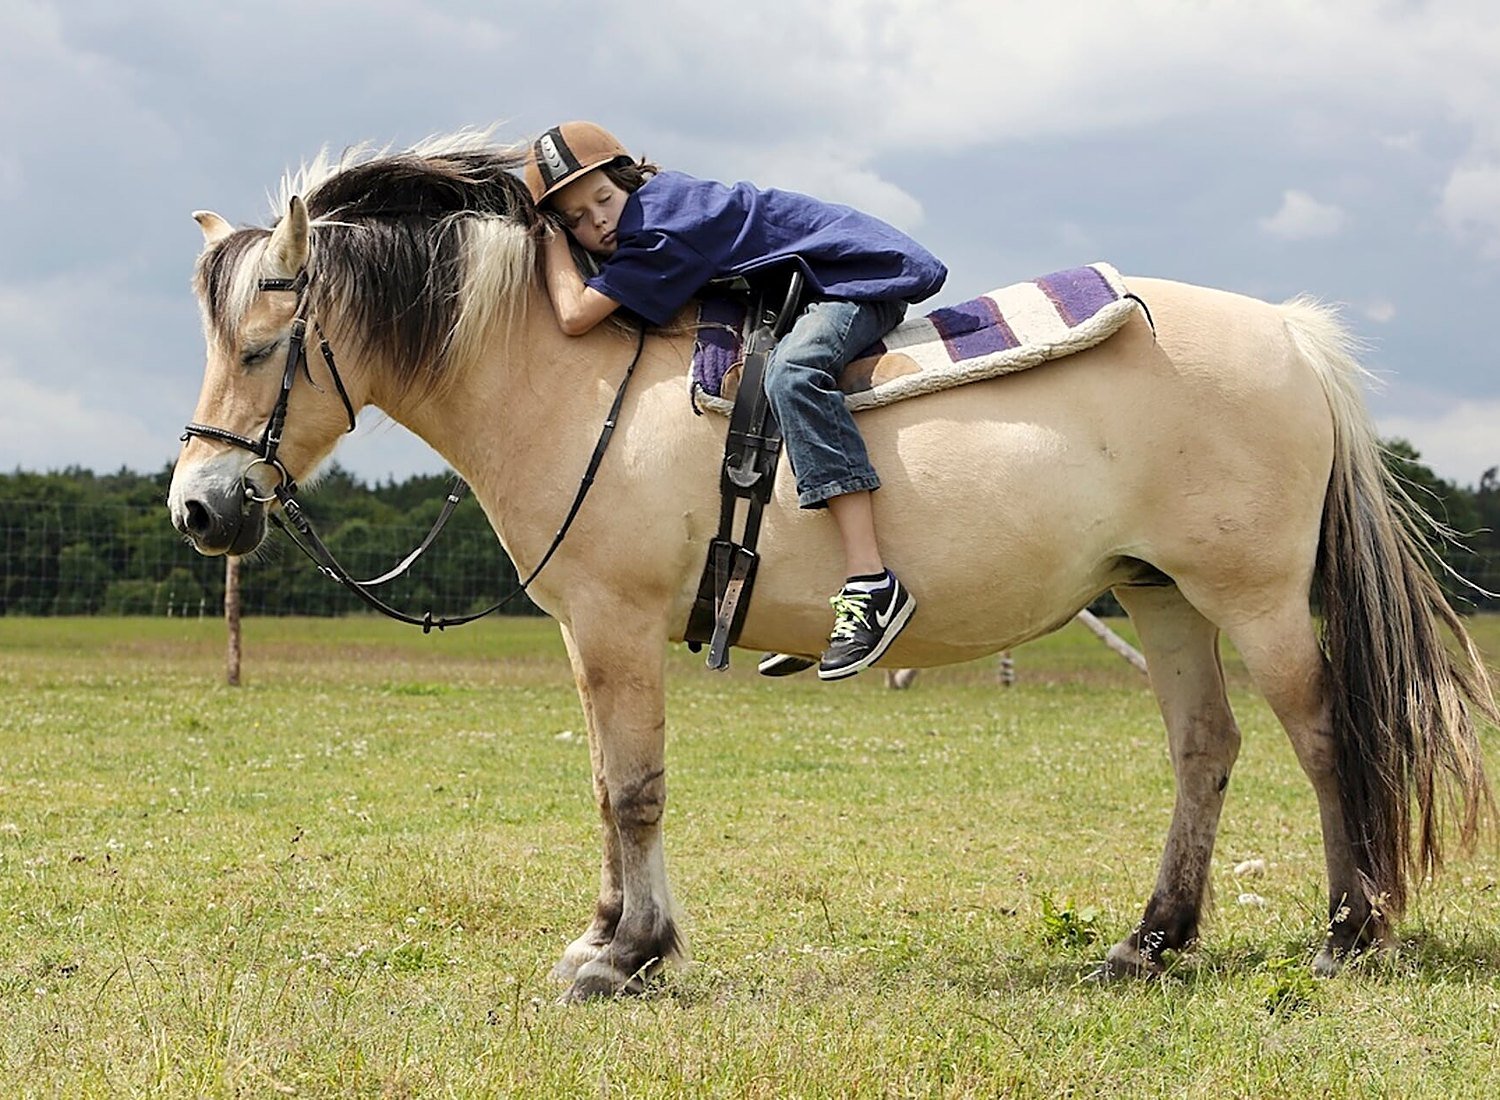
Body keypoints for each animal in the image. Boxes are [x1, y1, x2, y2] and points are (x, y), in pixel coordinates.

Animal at [167, 135, 1497, 1002]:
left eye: (267, 341)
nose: (198, 505)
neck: (571, 378)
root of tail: (1287, 332)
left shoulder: (614, 620)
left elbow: (631, 788)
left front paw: (625, 953)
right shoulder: (588, 633)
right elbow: (606, 783)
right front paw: (611, 936)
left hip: (1256, 596)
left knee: (1324, 736)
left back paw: (1349, 932)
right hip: (1159, 592)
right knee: (1205, 748)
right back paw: (1149, 942)